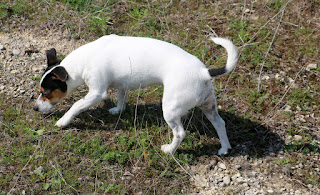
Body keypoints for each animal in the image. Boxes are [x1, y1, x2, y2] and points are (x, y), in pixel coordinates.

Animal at [33, 34, 238, 155]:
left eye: (46, 93)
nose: (35, 108)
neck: (82, 61)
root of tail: (204, 72)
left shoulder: (97, 93)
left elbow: (76, 106)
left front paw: (64, 121)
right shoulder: (122, 84)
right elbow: (121, 98)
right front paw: (118, 110)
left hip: (170, 109)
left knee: (180, 133)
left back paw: (169, 150)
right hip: (208, 105)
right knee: (220, 123)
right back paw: (224, 148)